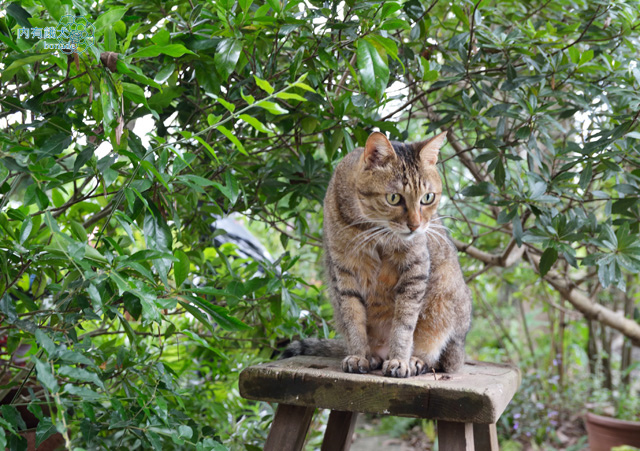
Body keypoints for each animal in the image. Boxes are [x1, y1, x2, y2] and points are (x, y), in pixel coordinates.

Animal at [284, 131, 470, 378]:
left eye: (428, 197)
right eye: (394, 198)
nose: (415, 226)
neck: (373, 230)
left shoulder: (416, 268)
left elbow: (403, 325)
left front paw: (400, 360)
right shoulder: (345, 271)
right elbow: (354, 320)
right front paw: (359, 355)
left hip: (446, 307)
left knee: (440, 358)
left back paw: (416, 360)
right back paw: (373, 357)